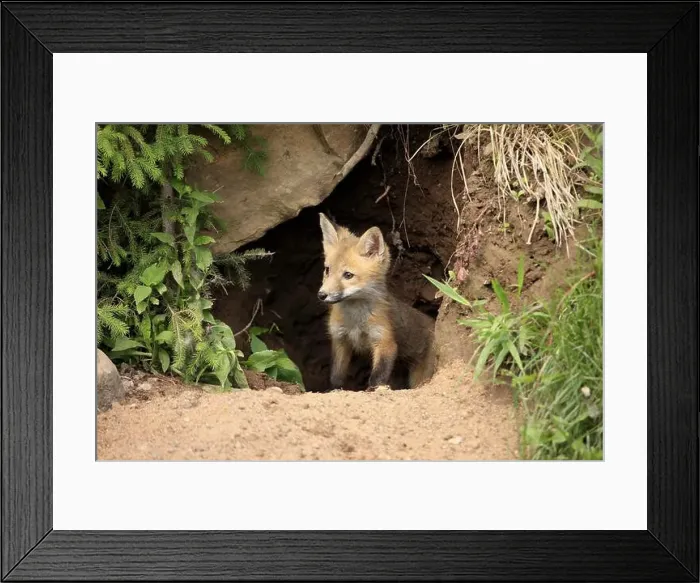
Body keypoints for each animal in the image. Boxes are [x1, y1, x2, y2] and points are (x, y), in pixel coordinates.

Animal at [317, 212, 436, 391]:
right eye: (327, 270)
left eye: (348, 275)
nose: (321, 295)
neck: (355, 321)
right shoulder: (340, 339)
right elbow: (336, 376)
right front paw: (334, 389)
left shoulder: (384, 341)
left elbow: (377, 378)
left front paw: (372, 390)